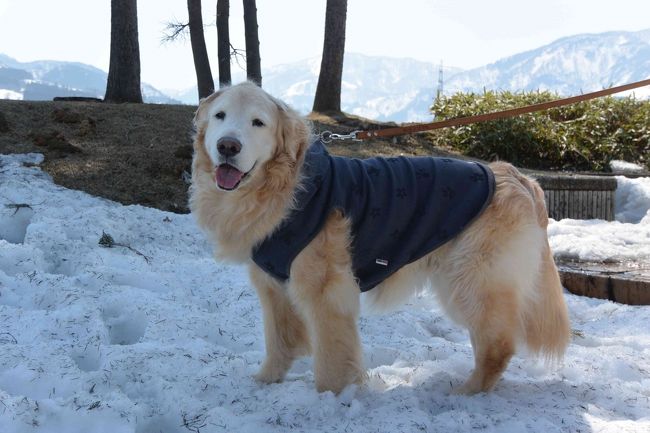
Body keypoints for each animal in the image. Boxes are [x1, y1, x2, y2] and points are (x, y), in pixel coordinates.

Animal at [190, 82, 568, 394]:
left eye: (258, 123)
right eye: (221, 115)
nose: (227, 146)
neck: (287, 188)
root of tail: (518, 176)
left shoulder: (325, 291)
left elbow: (331, 355)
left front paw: (329, 398)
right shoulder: (272, 285)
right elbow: (279, 340)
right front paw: (265, 382)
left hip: (471, 281)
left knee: (498, 346)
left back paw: (465, 393)